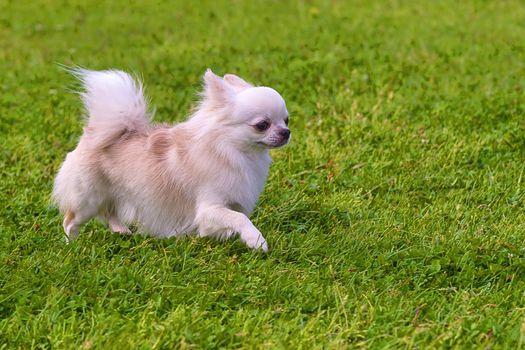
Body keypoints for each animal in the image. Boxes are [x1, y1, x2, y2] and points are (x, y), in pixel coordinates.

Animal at [53, 67, 290, 252]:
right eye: (262, 125)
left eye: (287, 120)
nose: (286, 132)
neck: (235, 151)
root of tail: (92, 134)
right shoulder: (209, 209)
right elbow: (239, 219)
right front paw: (257, 241)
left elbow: (237, 218)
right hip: (88, 199)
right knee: (71, 221)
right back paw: (71, 245)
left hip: (113, 193)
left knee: (109, 211)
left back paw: (121, 231)